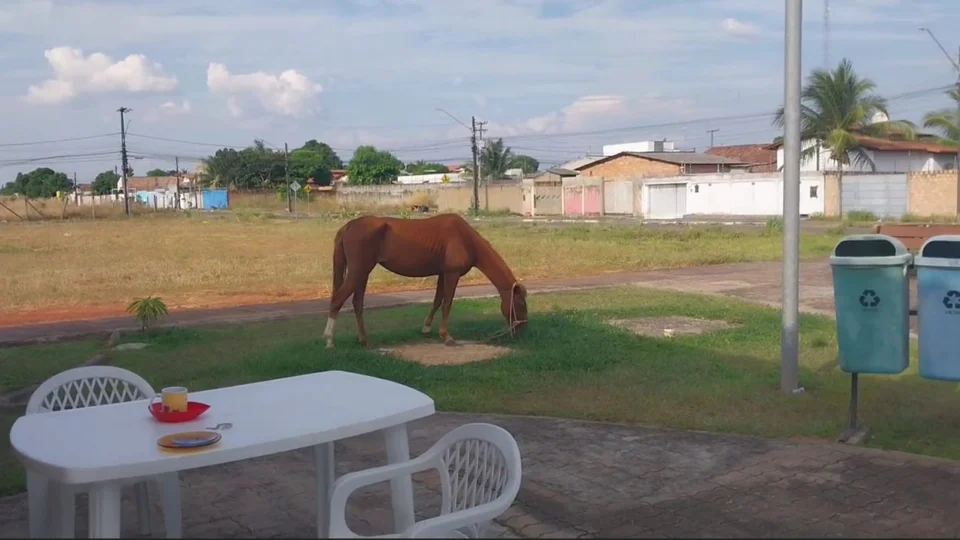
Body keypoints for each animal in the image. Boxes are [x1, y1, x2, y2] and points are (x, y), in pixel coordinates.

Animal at [323, 213, 528, 349]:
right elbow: (447, 304)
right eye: (520, 304)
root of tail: (348, 226)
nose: (522, 329)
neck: (465, 238)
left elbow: (437, 301)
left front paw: (426, 328)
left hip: (362, 274)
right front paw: (446, 337)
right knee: (338, 299)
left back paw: (364, 340)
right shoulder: (452, 274)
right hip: (358, 272)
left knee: (357, 303)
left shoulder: (442, 274)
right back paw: (329, 341)